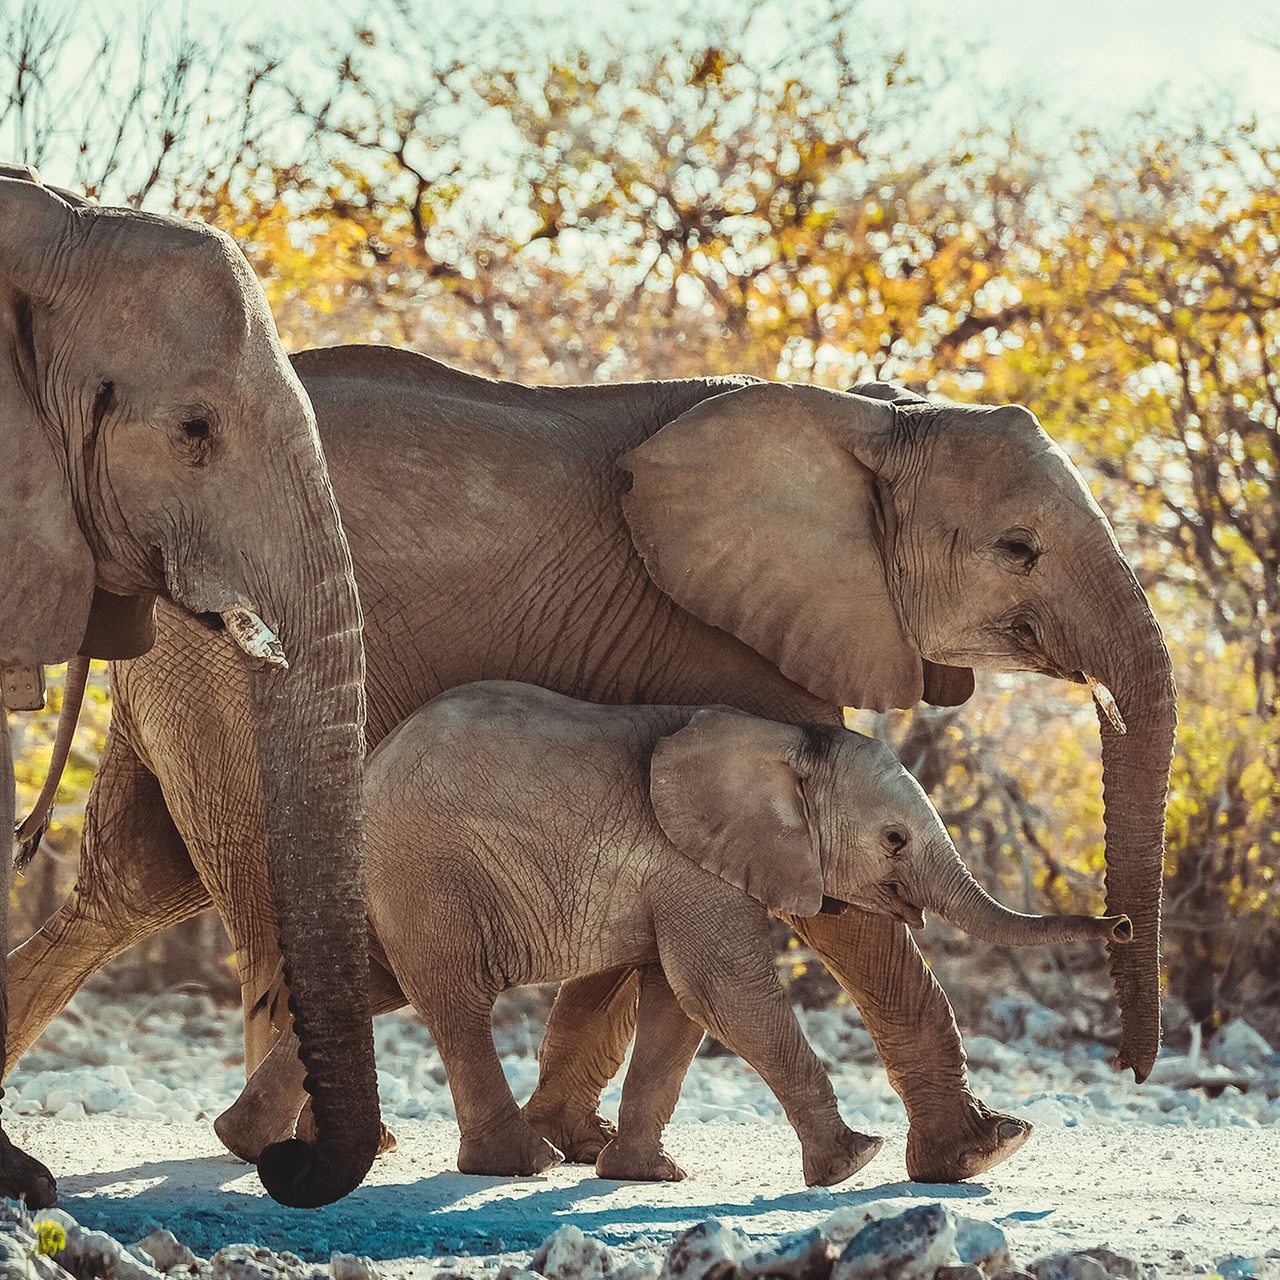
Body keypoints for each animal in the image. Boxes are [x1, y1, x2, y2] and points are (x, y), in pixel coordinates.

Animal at [337, 686, 1131, 1182]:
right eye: (895, 840)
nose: (1121, 923)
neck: (786, 745)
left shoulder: (684, 873)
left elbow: (677, 1004)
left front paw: (647, 1176)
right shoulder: (690, 864)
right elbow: (724, 993)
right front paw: (854, 1162)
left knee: (370, 984)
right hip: (426, 872)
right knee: (456, 1001)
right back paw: (518, 1164)